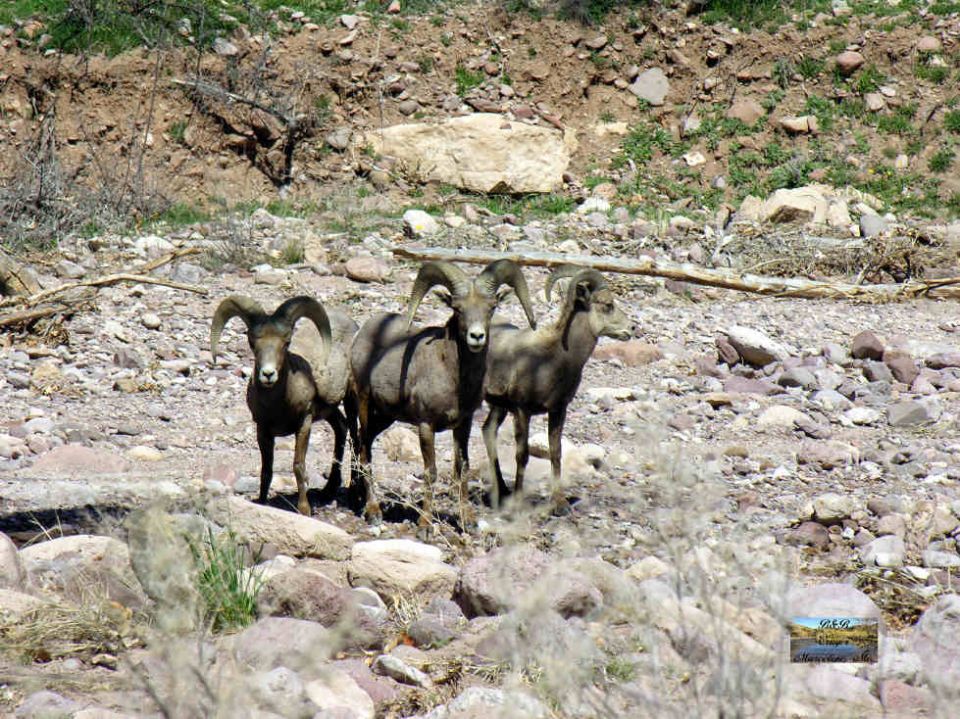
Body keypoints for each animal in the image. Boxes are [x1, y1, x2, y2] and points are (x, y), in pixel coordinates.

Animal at [210, 295, 358, 516]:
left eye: (286, 342)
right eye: (252, 342)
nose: (268, 374)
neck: (278, 407)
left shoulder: (304, 424)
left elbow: (298, 465)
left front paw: (304, 510)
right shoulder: (263, 430)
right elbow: (266, 470)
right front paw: (262, 504)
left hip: (351, 400)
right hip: (329, 410)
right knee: (341, 427)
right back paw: (328, 490)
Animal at [348, 259, 536, 532]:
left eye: (491, 307)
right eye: (458, 309)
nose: (476, 337)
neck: (455, 379)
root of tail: (361, 335)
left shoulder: (463, 426)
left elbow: (462, 469)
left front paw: (468, 521)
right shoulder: (426, 426)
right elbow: (431, 472)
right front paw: (426, 524)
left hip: (385, 416)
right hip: (364, 404)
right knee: (364, 452)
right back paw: (373, 512)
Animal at [482, 265, 632, 513]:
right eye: (607, 304)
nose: (631, 329)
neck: (553, 359)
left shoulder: (558, 410)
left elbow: (556, 453)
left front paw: (559, 504)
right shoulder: (522, 411)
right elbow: (522, 455)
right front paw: (519, 502)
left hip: (498, 407)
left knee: (487, 431)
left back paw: (502, 492)